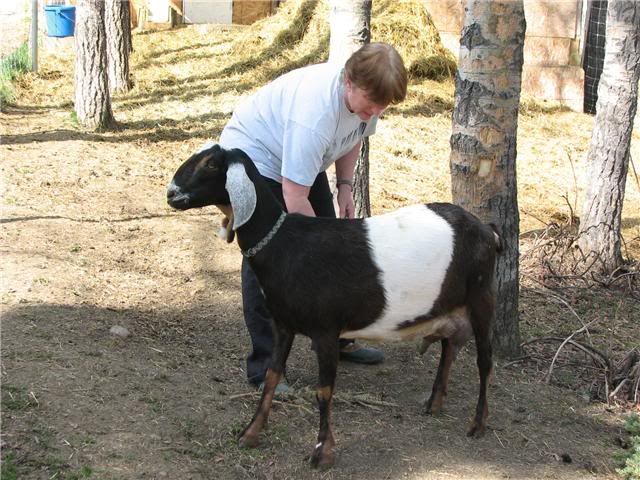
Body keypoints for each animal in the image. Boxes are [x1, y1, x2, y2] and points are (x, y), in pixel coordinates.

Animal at [167, 144, 503, 468]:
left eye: (211, 164)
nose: (171, 193)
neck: (284, 244)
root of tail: (489, 231)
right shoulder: (283, 325)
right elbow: (273, 376)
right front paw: (250, 433)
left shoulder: (326, 330)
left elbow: (324, 391)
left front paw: (321, 453)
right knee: (448, 350)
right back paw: (434, 404)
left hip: (482, 297)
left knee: (485, 361)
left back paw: (478, 423)